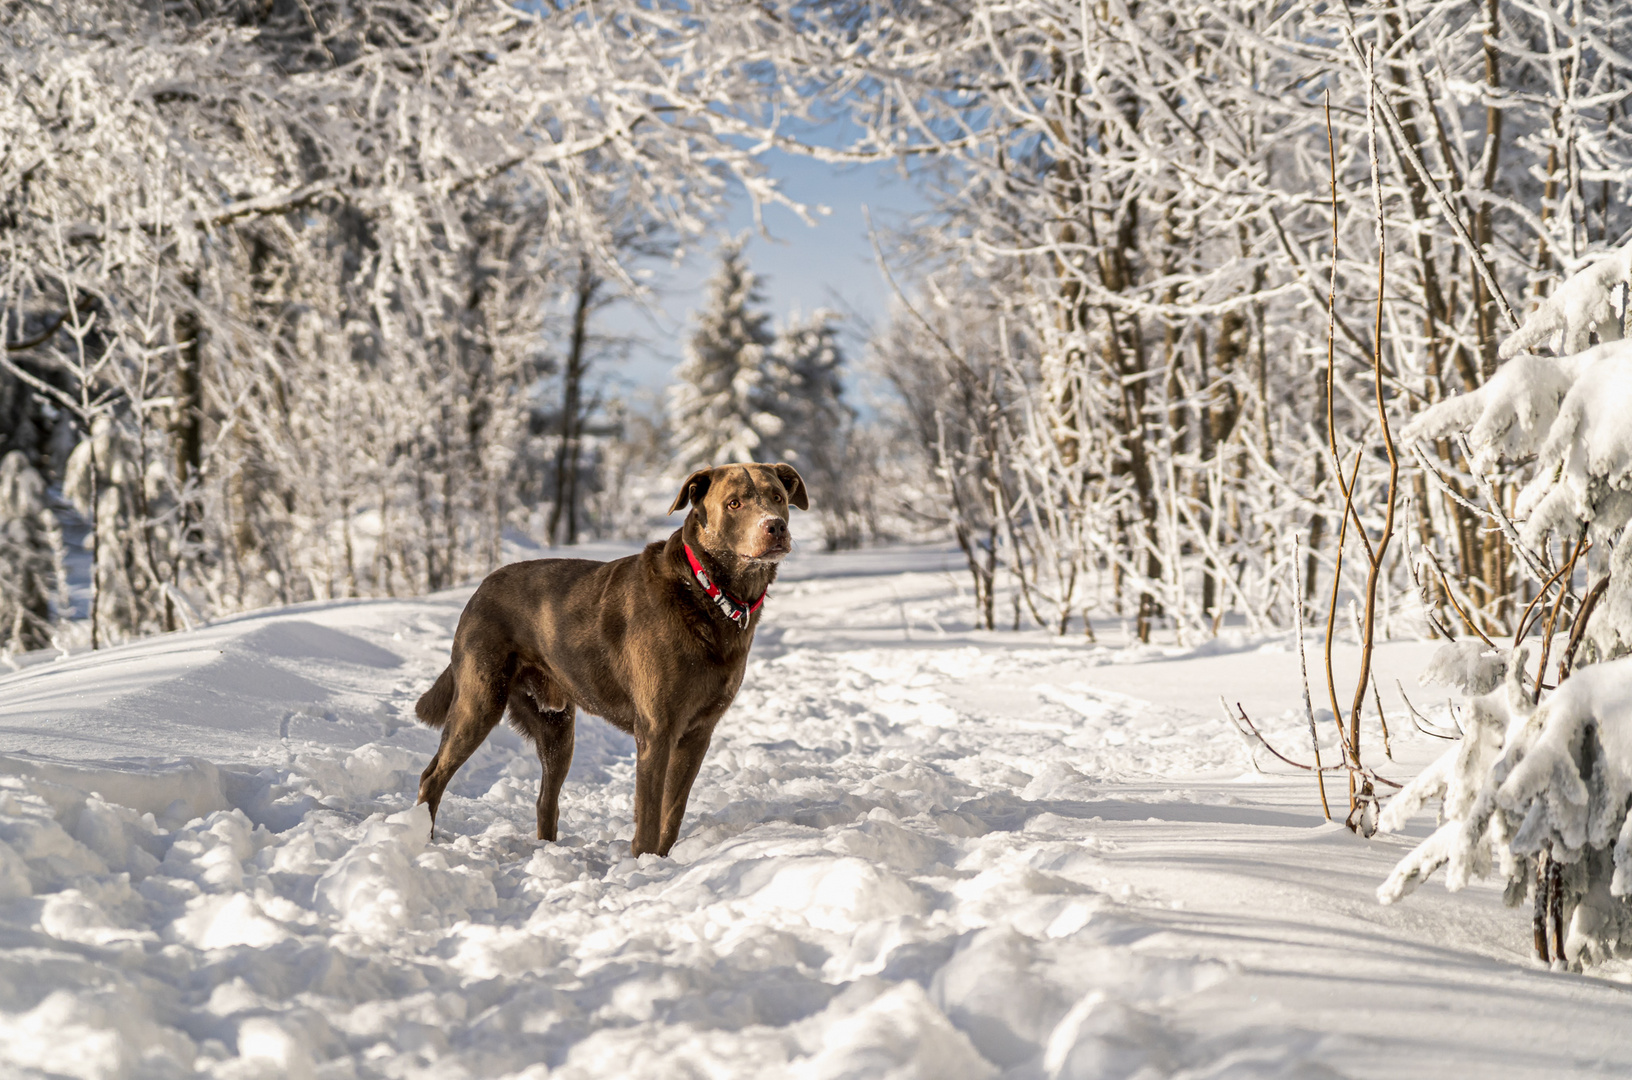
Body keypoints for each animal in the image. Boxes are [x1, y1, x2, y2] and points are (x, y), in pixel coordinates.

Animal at [414, 460, 809, 861]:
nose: (775, 526)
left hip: (556, 727)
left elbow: (673, 811)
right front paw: (643, 862)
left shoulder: (698, 732)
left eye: (777, 497)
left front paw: (661, 861)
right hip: (479, 701)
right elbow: (649, 814)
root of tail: (479, 590)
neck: (708, 593)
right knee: (432, 776)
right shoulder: (656, 729)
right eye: (734, 503)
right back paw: (420, 838)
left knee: (545, 799)